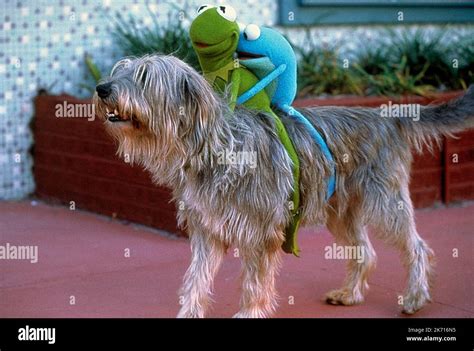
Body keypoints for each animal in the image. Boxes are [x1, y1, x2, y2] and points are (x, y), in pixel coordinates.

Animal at [93, 54, 474, 320]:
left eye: (144, 76)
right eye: (121, 68)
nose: (102, 88)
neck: (213, 147)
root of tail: (386, 116)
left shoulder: (261, 235)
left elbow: (254, 284)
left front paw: (248, 313)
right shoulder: (207, 232)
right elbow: (195, 280)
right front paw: (189, 313)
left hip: (385, 203)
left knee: (417, 247)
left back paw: (415, 297)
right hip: (340, 212)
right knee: (365, 251)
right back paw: (350, 294)